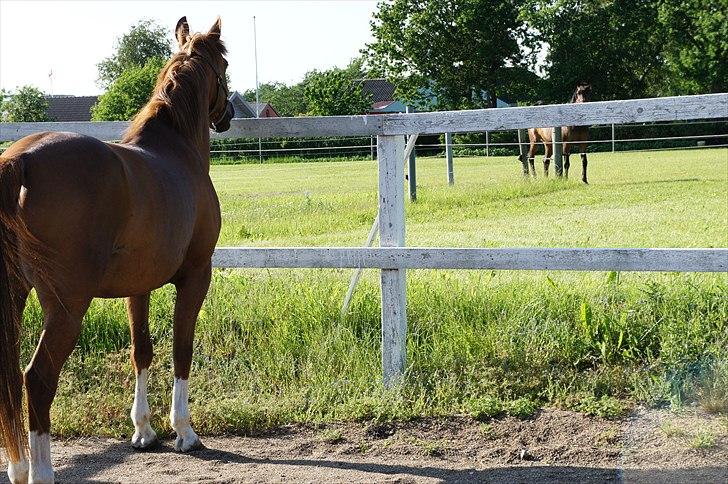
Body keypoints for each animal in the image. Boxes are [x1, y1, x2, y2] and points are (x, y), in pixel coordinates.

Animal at [0, 16, 233, 484]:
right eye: (225, 66)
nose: (231, 114)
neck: (176, 150)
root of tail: (20, 160)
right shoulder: (197, 275)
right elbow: (182, 349)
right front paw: (185, 432)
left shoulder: (137, 286)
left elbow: (140, 350)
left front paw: (143, 430)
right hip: (66, 305)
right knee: (38, 378)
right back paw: (41, 470)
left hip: (15, 294)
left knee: (10, 377)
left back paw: (18, 467)